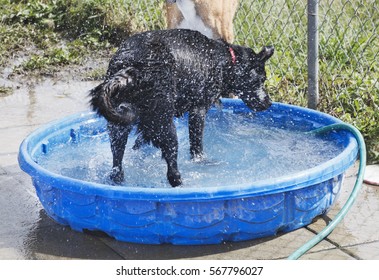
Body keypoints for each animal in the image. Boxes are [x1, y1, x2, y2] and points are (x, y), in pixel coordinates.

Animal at [90, 28, 274, 187]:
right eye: (261, 79)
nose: (268, 103)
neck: (227, 60)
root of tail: (131, 69)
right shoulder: (198, 111)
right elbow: (197, 145)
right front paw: (201, 161)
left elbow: (139, 142)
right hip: (166, 126)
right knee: (172, 171)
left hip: (120, 126)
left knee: (117, 166)